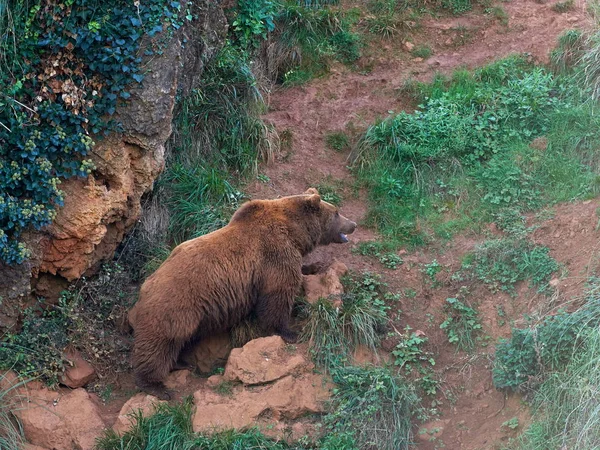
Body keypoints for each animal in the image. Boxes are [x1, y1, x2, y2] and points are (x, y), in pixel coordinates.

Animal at [131, 188, 356, 400]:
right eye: (336, 212)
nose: (353, 224)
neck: (295, 231)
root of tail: (143, 289)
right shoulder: (274, 255)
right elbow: (278, 295)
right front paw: (290, 332)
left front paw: (314, 266)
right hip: (174, 306)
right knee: (160, 345)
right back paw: (157, 386)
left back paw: (181, 363)